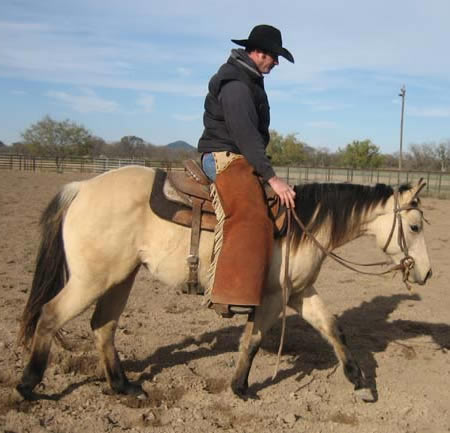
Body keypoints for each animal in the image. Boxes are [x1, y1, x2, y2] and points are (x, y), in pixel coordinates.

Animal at [15, 164, 432, 400]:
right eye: (414, 226)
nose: (427, 273)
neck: (303, 226)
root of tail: (82, 188)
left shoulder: (299, 292)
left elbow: (333, 329)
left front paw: (359, 381)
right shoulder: (271, 296)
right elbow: (254, 339)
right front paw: (241, 388)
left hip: (120, 277)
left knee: (104, 326)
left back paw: (124, 386)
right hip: (92, 279)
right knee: (50, 315)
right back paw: (28, 385)